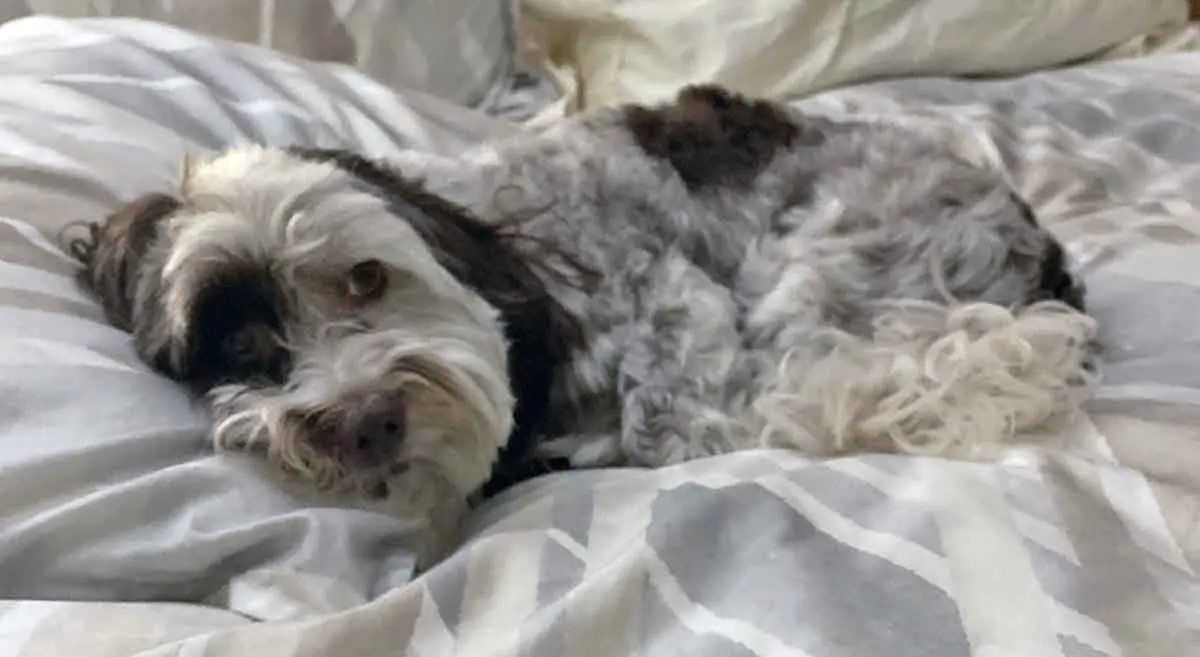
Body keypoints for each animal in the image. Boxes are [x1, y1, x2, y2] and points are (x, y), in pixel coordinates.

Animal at [65, 84, 1099, 561]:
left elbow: (683, 427)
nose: (365, 421)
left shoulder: (677, 316)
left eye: (365, 277)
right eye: (235, 347)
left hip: (811, 271)